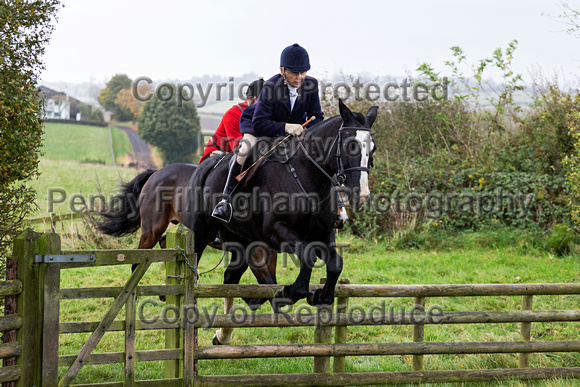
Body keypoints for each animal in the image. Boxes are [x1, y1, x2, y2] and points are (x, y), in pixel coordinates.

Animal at [184, 99, 378, 312]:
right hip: (199, 231)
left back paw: (255, 302)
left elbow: (336, 264)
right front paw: (291, 292)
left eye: (373, 149)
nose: (362, 194)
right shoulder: (276, 231)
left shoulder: (322, 233)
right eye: (350, 145)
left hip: (242, 240)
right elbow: (308, 256)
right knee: (193, 265)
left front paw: (321, 296)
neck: (307, 176)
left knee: (230, 277)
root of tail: (205, 165)